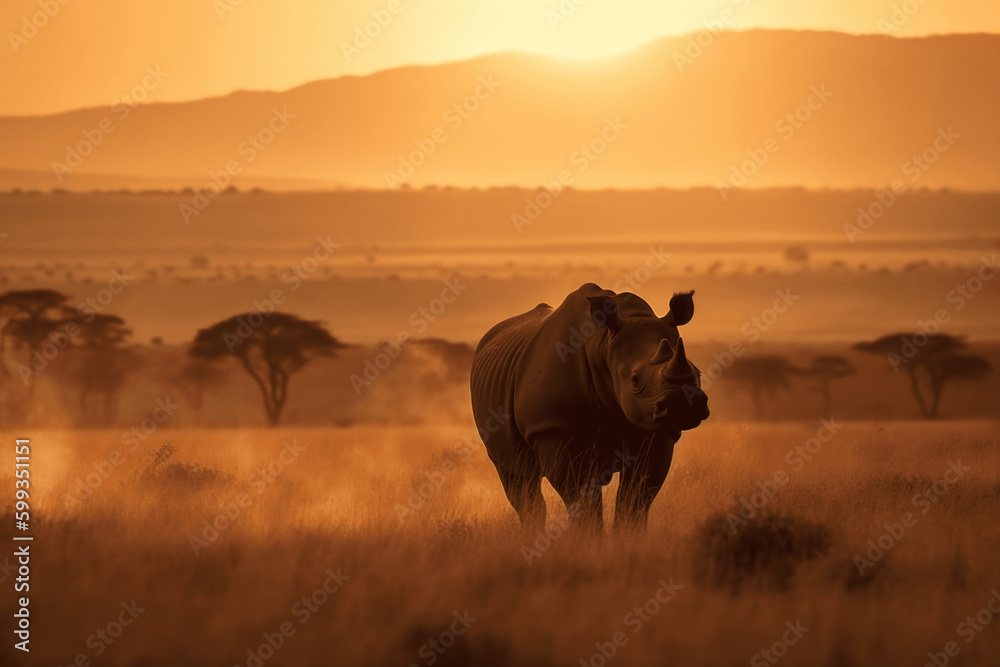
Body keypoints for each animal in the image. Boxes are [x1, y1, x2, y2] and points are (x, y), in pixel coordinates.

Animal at [470, 283, 709, 531]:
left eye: (698, 372)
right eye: (634, 380)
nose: (683, 405)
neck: (603, 346)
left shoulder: (657, 431)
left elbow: (636, 498)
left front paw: (628, 537)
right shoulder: (554, 429)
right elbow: (582, 498)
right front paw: (588, 539)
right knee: (518, 476)